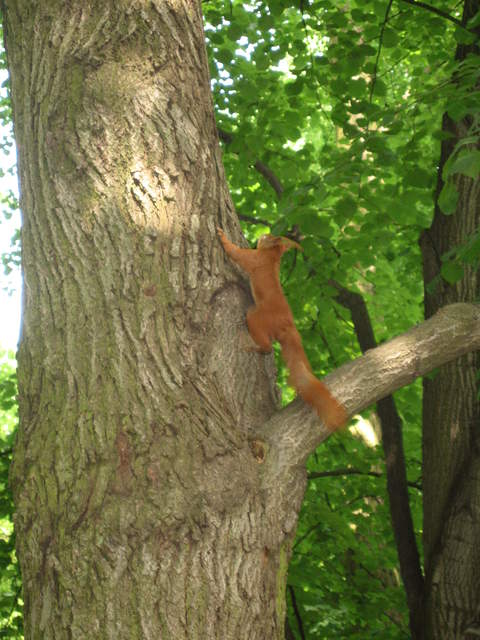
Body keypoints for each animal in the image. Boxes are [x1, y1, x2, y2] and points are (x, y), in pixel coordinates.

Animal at [217, 228, 346, 430]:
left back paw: (253, 346)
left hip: (256, 318)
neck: (272, 257)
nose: (264, 234)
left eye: (269, 237)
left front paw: (222, 236)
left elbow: (235, 252)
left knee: (267, 347)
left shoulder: (252, 258)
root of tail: (288, 326)